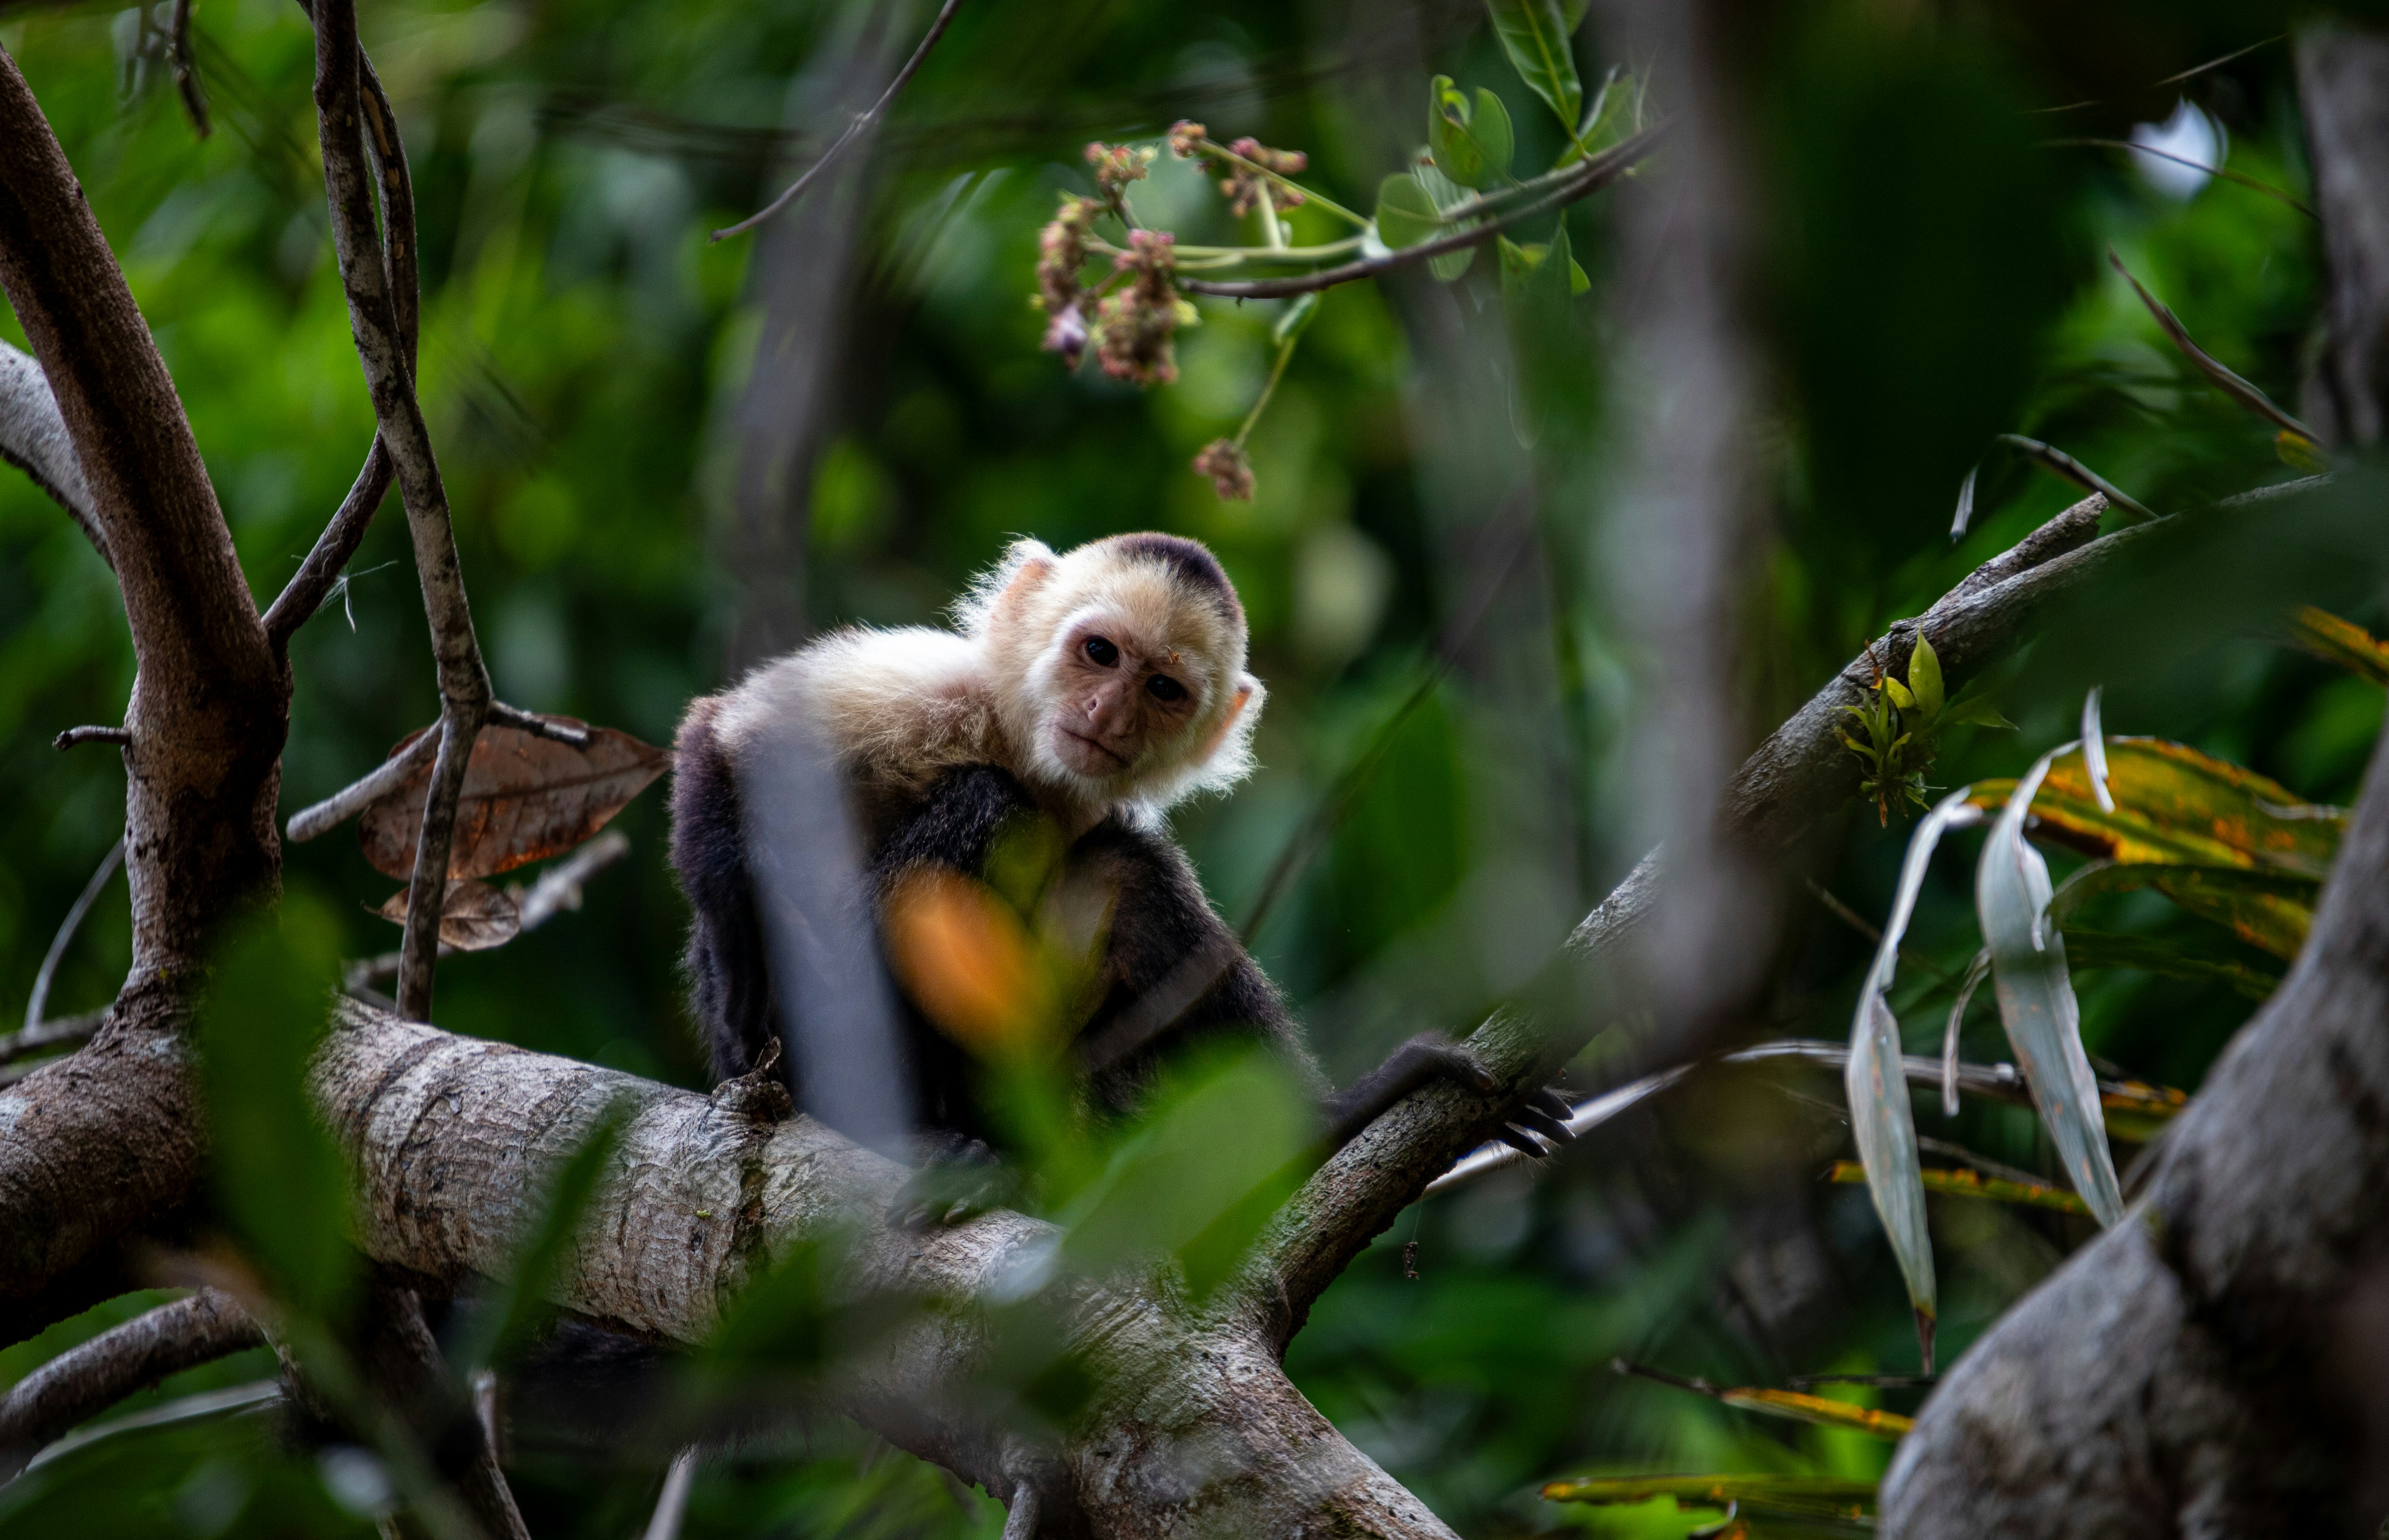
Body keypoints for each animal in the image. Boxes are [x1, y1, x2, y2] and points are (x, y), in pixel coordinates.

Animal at [669, 531, 1574, 1203]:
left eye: (1163, 689)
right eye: (1099, 653)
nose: (1107, 713)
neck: (1025, 747)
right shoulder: (929, 689)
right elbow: (721, 731)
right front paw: (738, 957)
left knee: (1124, 870)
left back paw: (1322, 1129)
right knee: (986, 803)